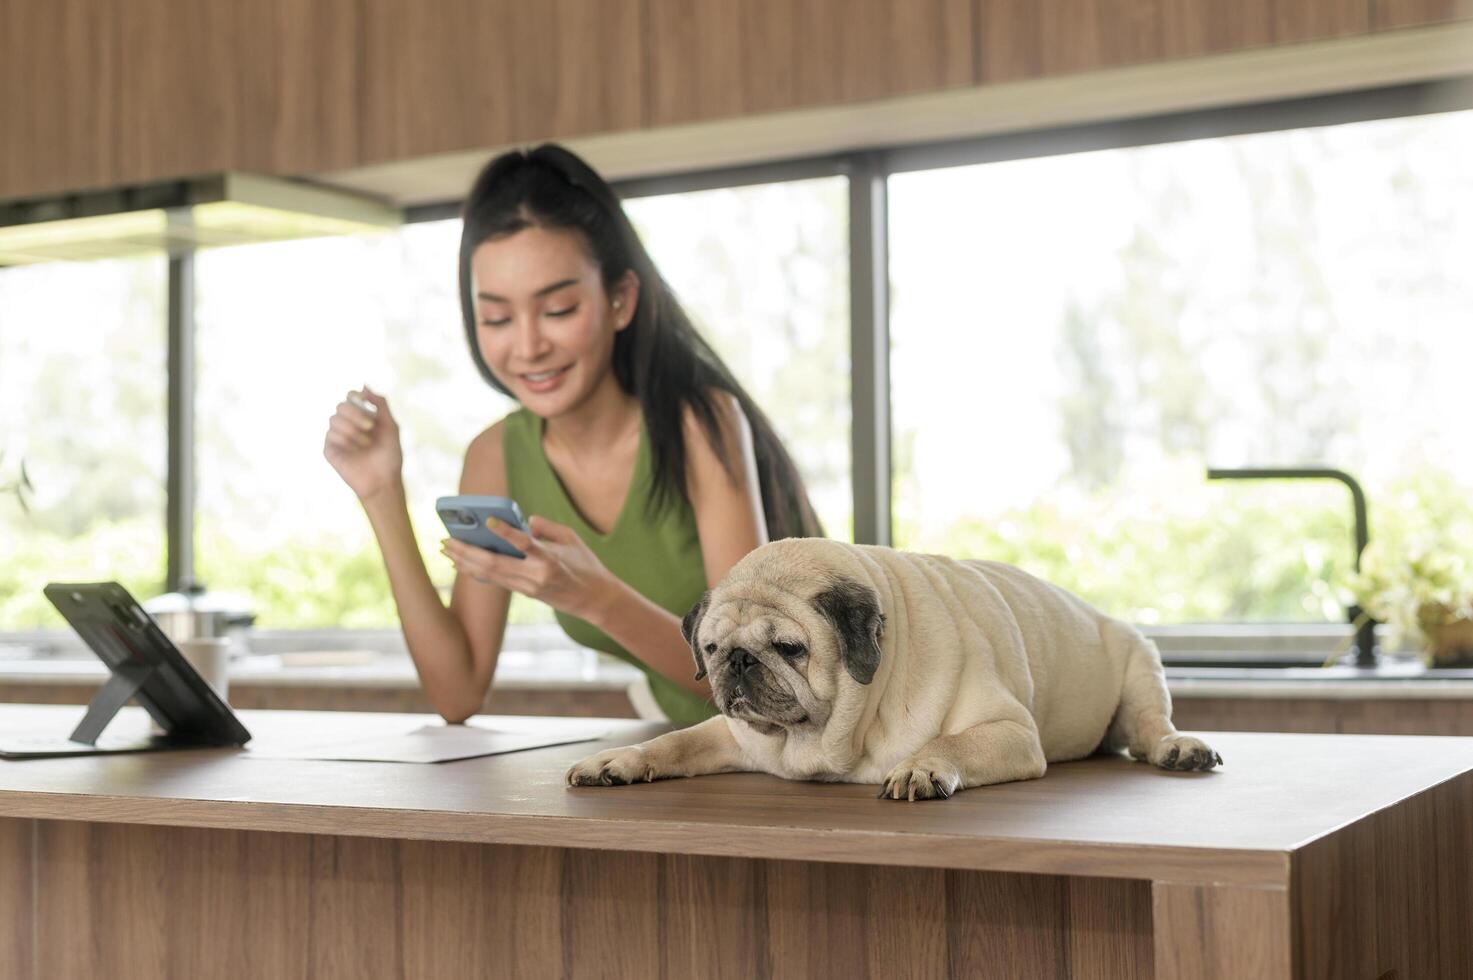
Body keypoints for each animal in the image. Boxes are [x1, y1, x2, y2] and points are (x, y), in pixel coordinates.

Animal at [562, 539, 1219, 801]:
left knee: (1150, 727)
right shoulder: (732, 735)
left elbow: (951, 742)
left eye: (791, 648)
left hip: (1139, 664)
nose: (741, 663)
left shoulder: (1008, 732)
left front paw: (922, 767)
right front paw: (616, 761)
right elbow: (671, 743)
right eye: (714, 648)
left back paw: (1178, 749)